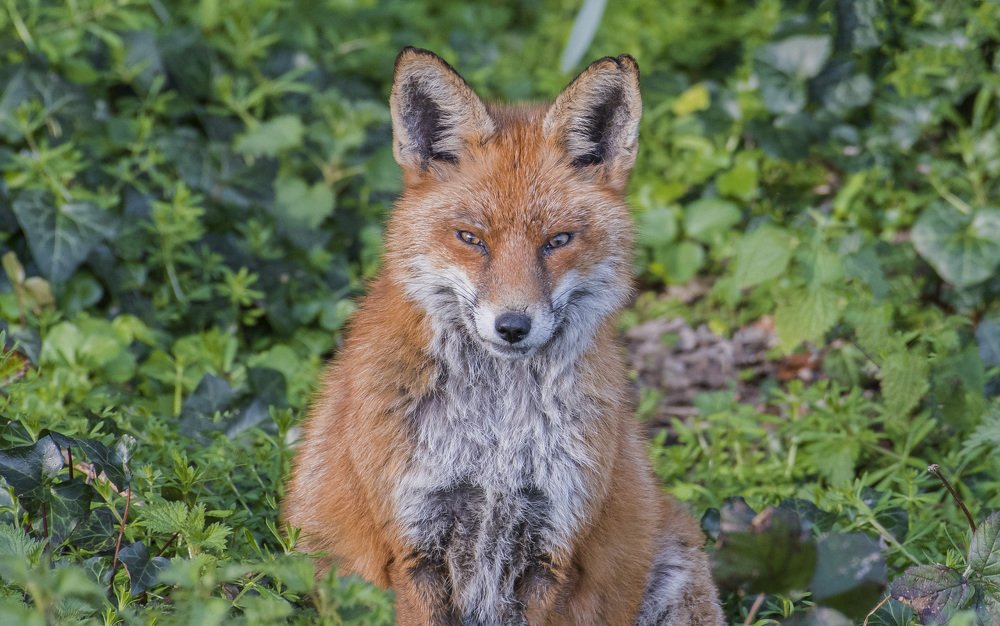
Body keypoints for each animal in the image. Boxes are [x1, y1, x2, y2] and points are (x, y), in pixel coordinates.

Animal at [283, 47, 725, 625]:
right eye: (471, 238)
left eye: (557, 241)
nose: (513, 326)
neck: (496, 433)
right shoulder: (415, 544)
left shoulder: (550, 549)